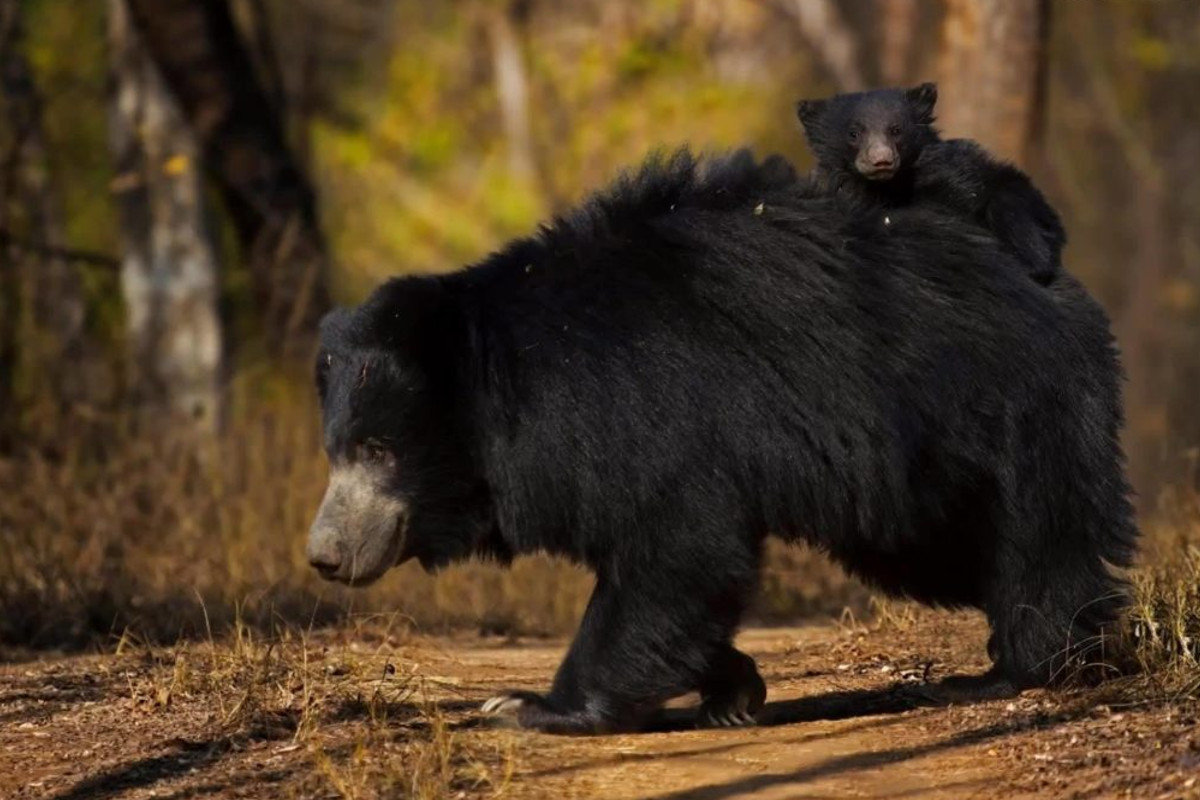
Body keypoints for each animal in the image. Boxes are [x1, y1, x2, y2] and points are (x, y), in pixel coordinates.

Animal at [307, 146, 1132, 734]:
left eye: (379, 450)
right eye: (336, 450)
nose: (324, 555)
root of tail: (1046, 271)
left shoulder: (644, 407)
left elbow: (676, 543)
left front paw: (532, 706)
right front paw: (733, 688)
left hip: (1005, 398)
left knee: (1037, 533)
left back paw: (1030, 664)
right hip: (926, 479)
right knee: (952, 549)